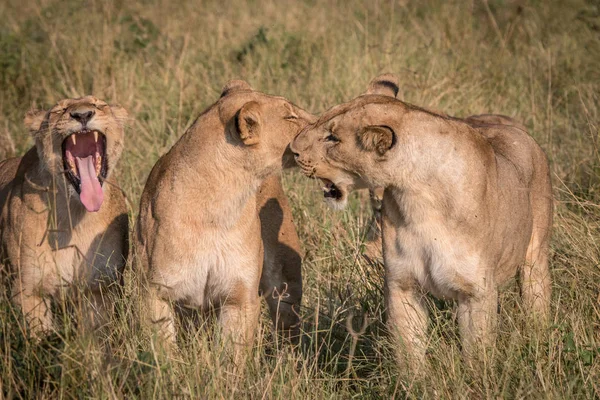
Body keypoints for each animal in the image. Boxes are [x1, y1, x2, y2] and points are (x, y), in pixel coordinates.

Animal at [290, 73, 552, 368]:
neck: (418, 198)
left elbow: (478, 353)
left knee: (536, 301)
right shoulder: (402, 284)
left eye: (333, 138)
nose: (293, 150)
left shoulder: (476, 292)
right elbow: (409, 353)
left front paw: (479, 377)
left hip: (535, 258)